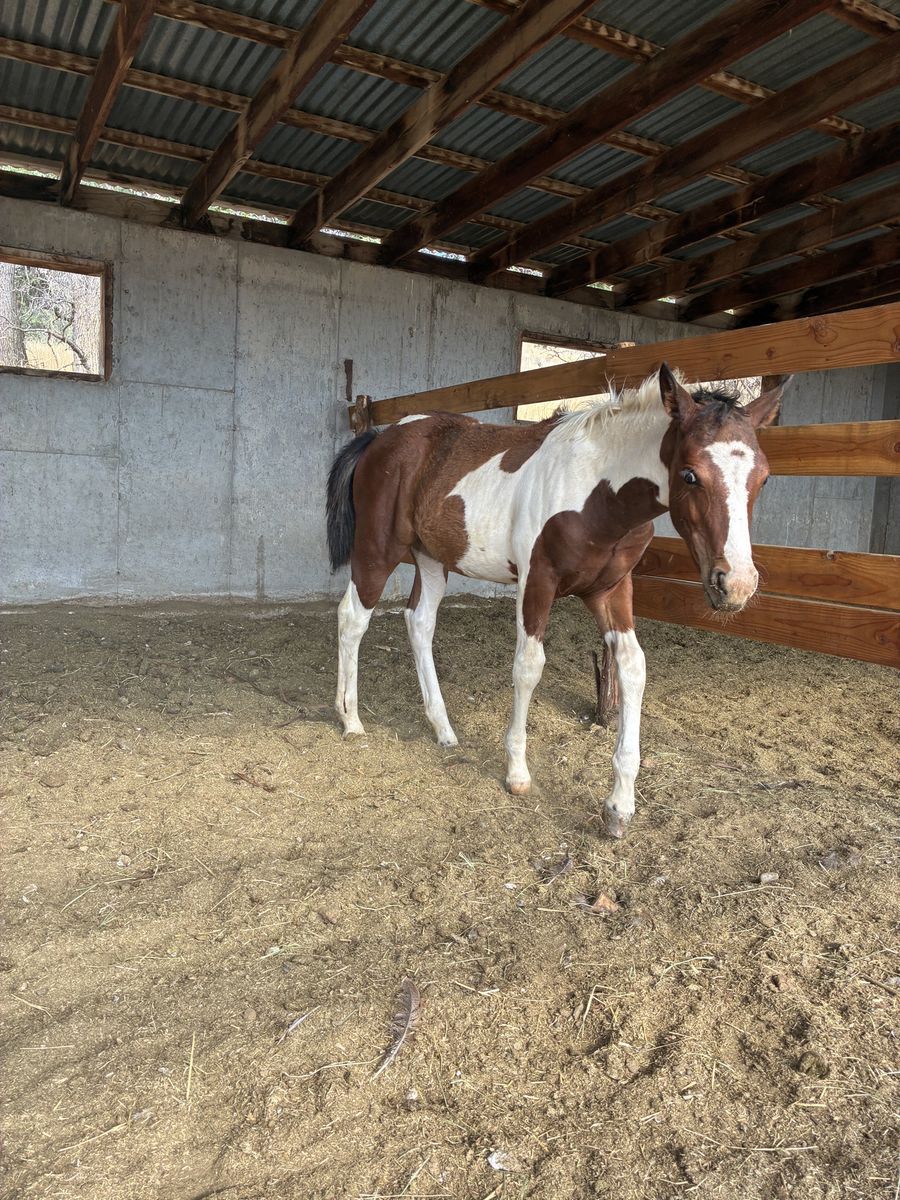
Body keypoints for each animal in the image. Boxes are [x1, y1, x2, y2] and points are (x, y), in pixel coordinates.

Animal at [325, 364, 788, 837]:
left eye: (764, 477)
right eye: (690, 474)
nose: (736, 584)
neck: (598, 496)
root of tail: (380, 437)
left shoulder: (612, 590)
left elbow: (633, 667)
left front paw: (620, 805)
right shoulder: (537, 582)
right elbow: (528, 667)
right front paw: (517, 773)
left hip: (432, 557)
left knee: (419, 622)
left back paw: (444, 729)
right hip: (377, 549)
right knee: (353, 618)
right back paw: (351, 720)